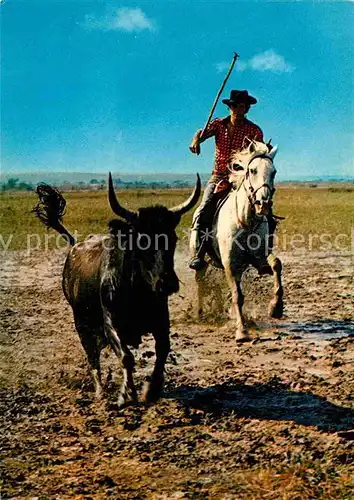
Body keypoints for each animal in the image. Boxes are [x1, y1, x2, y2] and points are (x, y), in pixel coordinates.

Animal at [33, 174, 201, 404]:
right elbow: (126, 357)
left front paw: (151, 389)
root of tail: (74, 247)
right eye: (142, 240)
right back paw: (100, 392)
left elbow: (163, 350)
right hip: (82, 324)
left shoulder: (161, 321)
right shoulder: (110, 324)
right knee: (92, 358)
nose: (167, 283)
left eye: (172, 238)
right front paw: (126, 393)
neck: (137, 291)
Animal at [192, 142, 284, 344]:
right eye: (252, 170)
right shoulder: (229, 263)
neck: (245, 221)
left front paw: (276, 308)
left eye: (273, 172)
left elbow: (276, 264)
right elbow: (237, 295)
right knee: (200, 282)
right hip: (201, 261)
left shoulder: (259, 257)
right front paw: (241, 332)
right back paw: (200, 313)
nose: (263, 204)